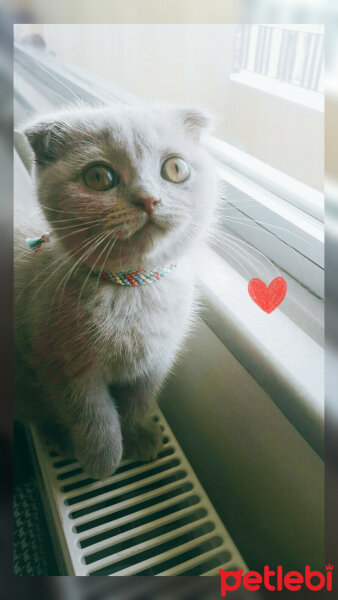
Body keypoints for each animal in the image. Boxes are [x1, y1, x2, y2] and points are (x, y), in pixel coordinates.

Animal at [14, 102, 218, 478]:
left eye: (176, 168)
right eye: (98, 177)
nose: (148, 199)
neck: (132, 290)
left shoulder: (154, 365)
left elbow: (140, 402)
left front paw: (141, 436)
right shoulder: (62, 370)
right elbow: (93, 418)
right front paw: (103, 462)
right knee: (37, 412)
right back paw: (61, 440)